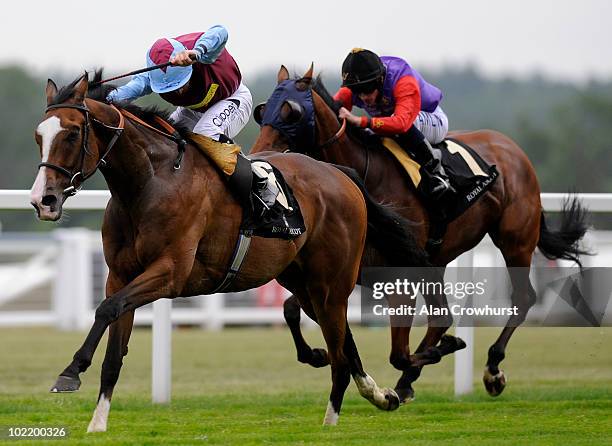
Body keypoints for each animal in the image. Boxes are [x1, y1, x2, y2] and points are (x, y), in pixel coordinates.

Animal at [29, 71, 430, 430]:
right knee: (341, 342)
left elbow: (107, 308)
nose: (42, 201)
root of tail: (339, 173)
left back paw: (332, 420)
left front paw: (71, 371)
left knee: (339, 352)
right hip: (302, 279)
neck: (149, 182)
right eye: (38, 136)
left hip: (333, 280)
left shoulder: (170, 273)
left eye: (72, 133)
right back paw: (379, 394)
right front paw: (97, 423)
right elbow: (113, 345)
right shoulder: (120, 275)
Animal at [249, 65, 588, 400]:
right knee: (440, 319)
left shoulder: (394, 272)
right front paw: (318, 354)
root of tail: (513, 149)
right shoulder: (342, 270)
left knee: (522, 297)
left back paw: (491, 368)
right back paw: (412, 378)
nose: (258, 155)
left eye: (291, 112)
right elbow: (292, 309)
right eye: (263, 112)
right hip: (438, 260)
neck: (369, 173)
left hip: (515, 240)